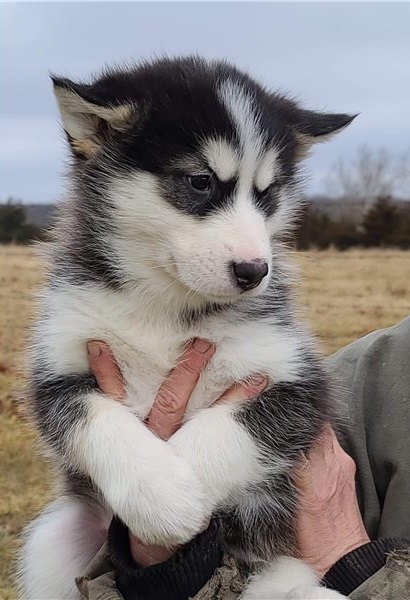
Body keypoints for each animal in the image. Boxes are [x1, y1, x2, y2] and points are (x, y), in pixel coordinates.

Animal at [18, 57, 352, 600]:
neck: (167, 307)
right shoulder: (59, 366)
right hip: (55, 540)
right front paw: (161, 495)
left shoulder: (295, 381)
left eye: (267, 194)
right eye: (199, 182)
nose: (255, 271)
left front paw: (181, 488)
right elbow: (96, 419)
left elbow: (230, 427)